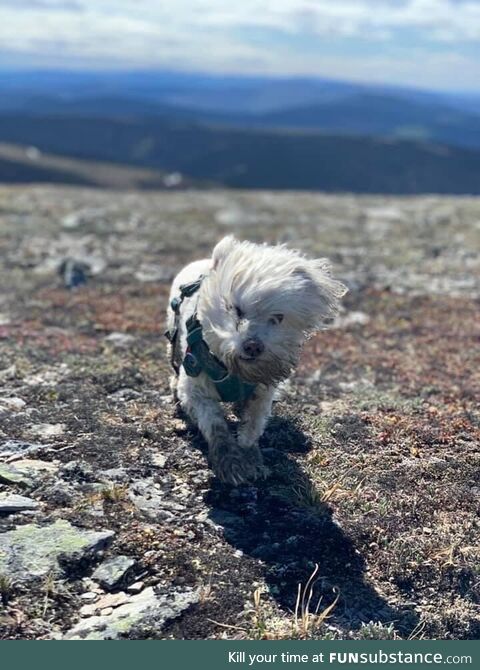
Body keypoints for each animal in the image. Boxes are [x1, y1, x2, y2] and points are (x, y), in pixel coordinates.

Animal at [167, 238, 346, 488]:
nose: (253, 346)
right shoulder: (196, 390)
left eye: (278, 317)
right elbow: (216, 425)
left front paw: (250, 457)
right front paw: (230, 461)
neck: (233, 371)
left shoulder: (262, 394)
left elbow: (252, 427)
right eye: (236, 309)